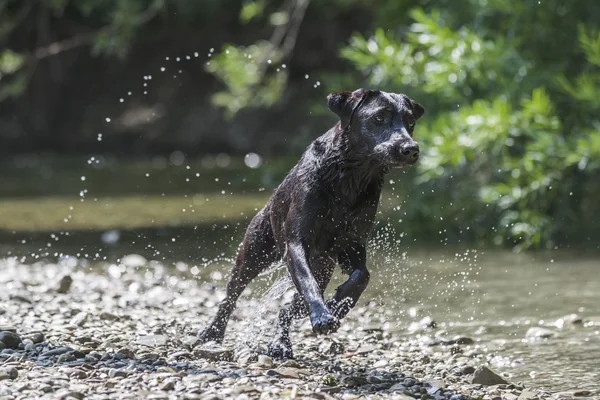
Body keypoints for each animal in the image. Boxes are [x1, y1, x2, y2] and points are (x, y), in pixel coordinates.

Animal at [199, 88, 424, 360]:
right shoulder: (296, 243)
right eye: (379, 117)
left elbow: (362, 275)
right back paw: (212, 333)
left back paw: (281, 343)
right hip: (254, 251)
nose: (411, 148)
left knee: (287, 309)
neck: (351, 176)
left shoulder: (353, 243)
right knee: (231, 295)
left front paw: (339, 305)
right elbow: (307, 282)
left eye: (410, 123)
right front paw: (322, 316)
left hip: (323, 268)